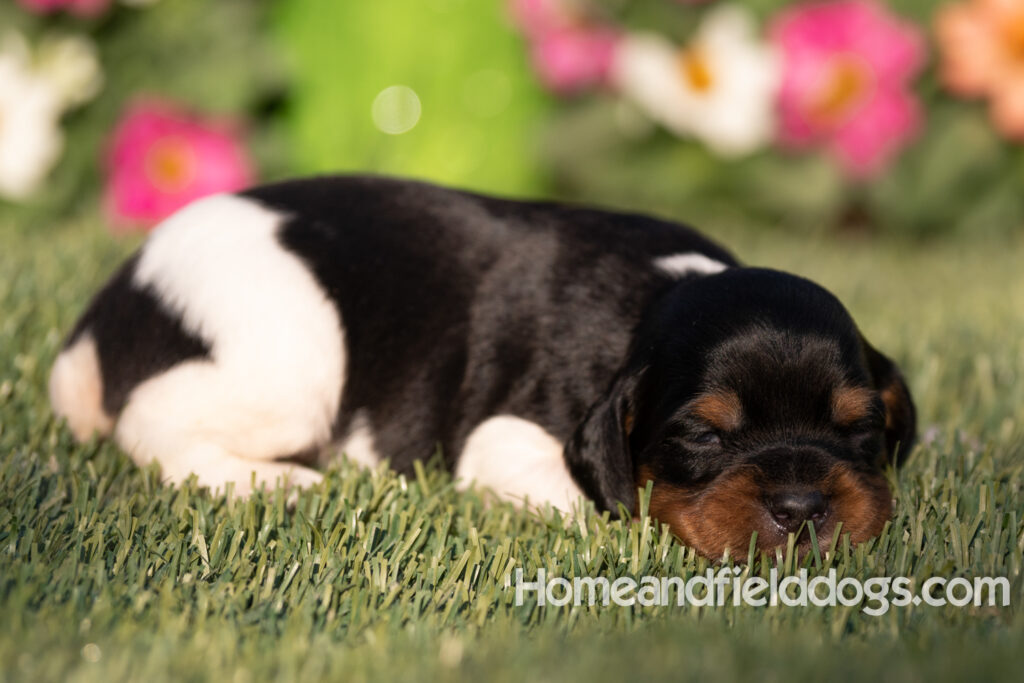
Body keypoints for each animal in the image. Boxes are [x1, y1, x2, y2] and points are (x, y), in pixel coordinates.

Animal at [48, 176, 917, 561]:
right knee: (152, 423)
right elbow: (603, 503)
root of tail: (114, 301)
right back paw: (281, 482)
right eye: (705, 435)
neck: (657, 297)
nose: (803, 507)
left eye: (862, 427)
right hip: (289, 360)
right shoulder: (502, 437)